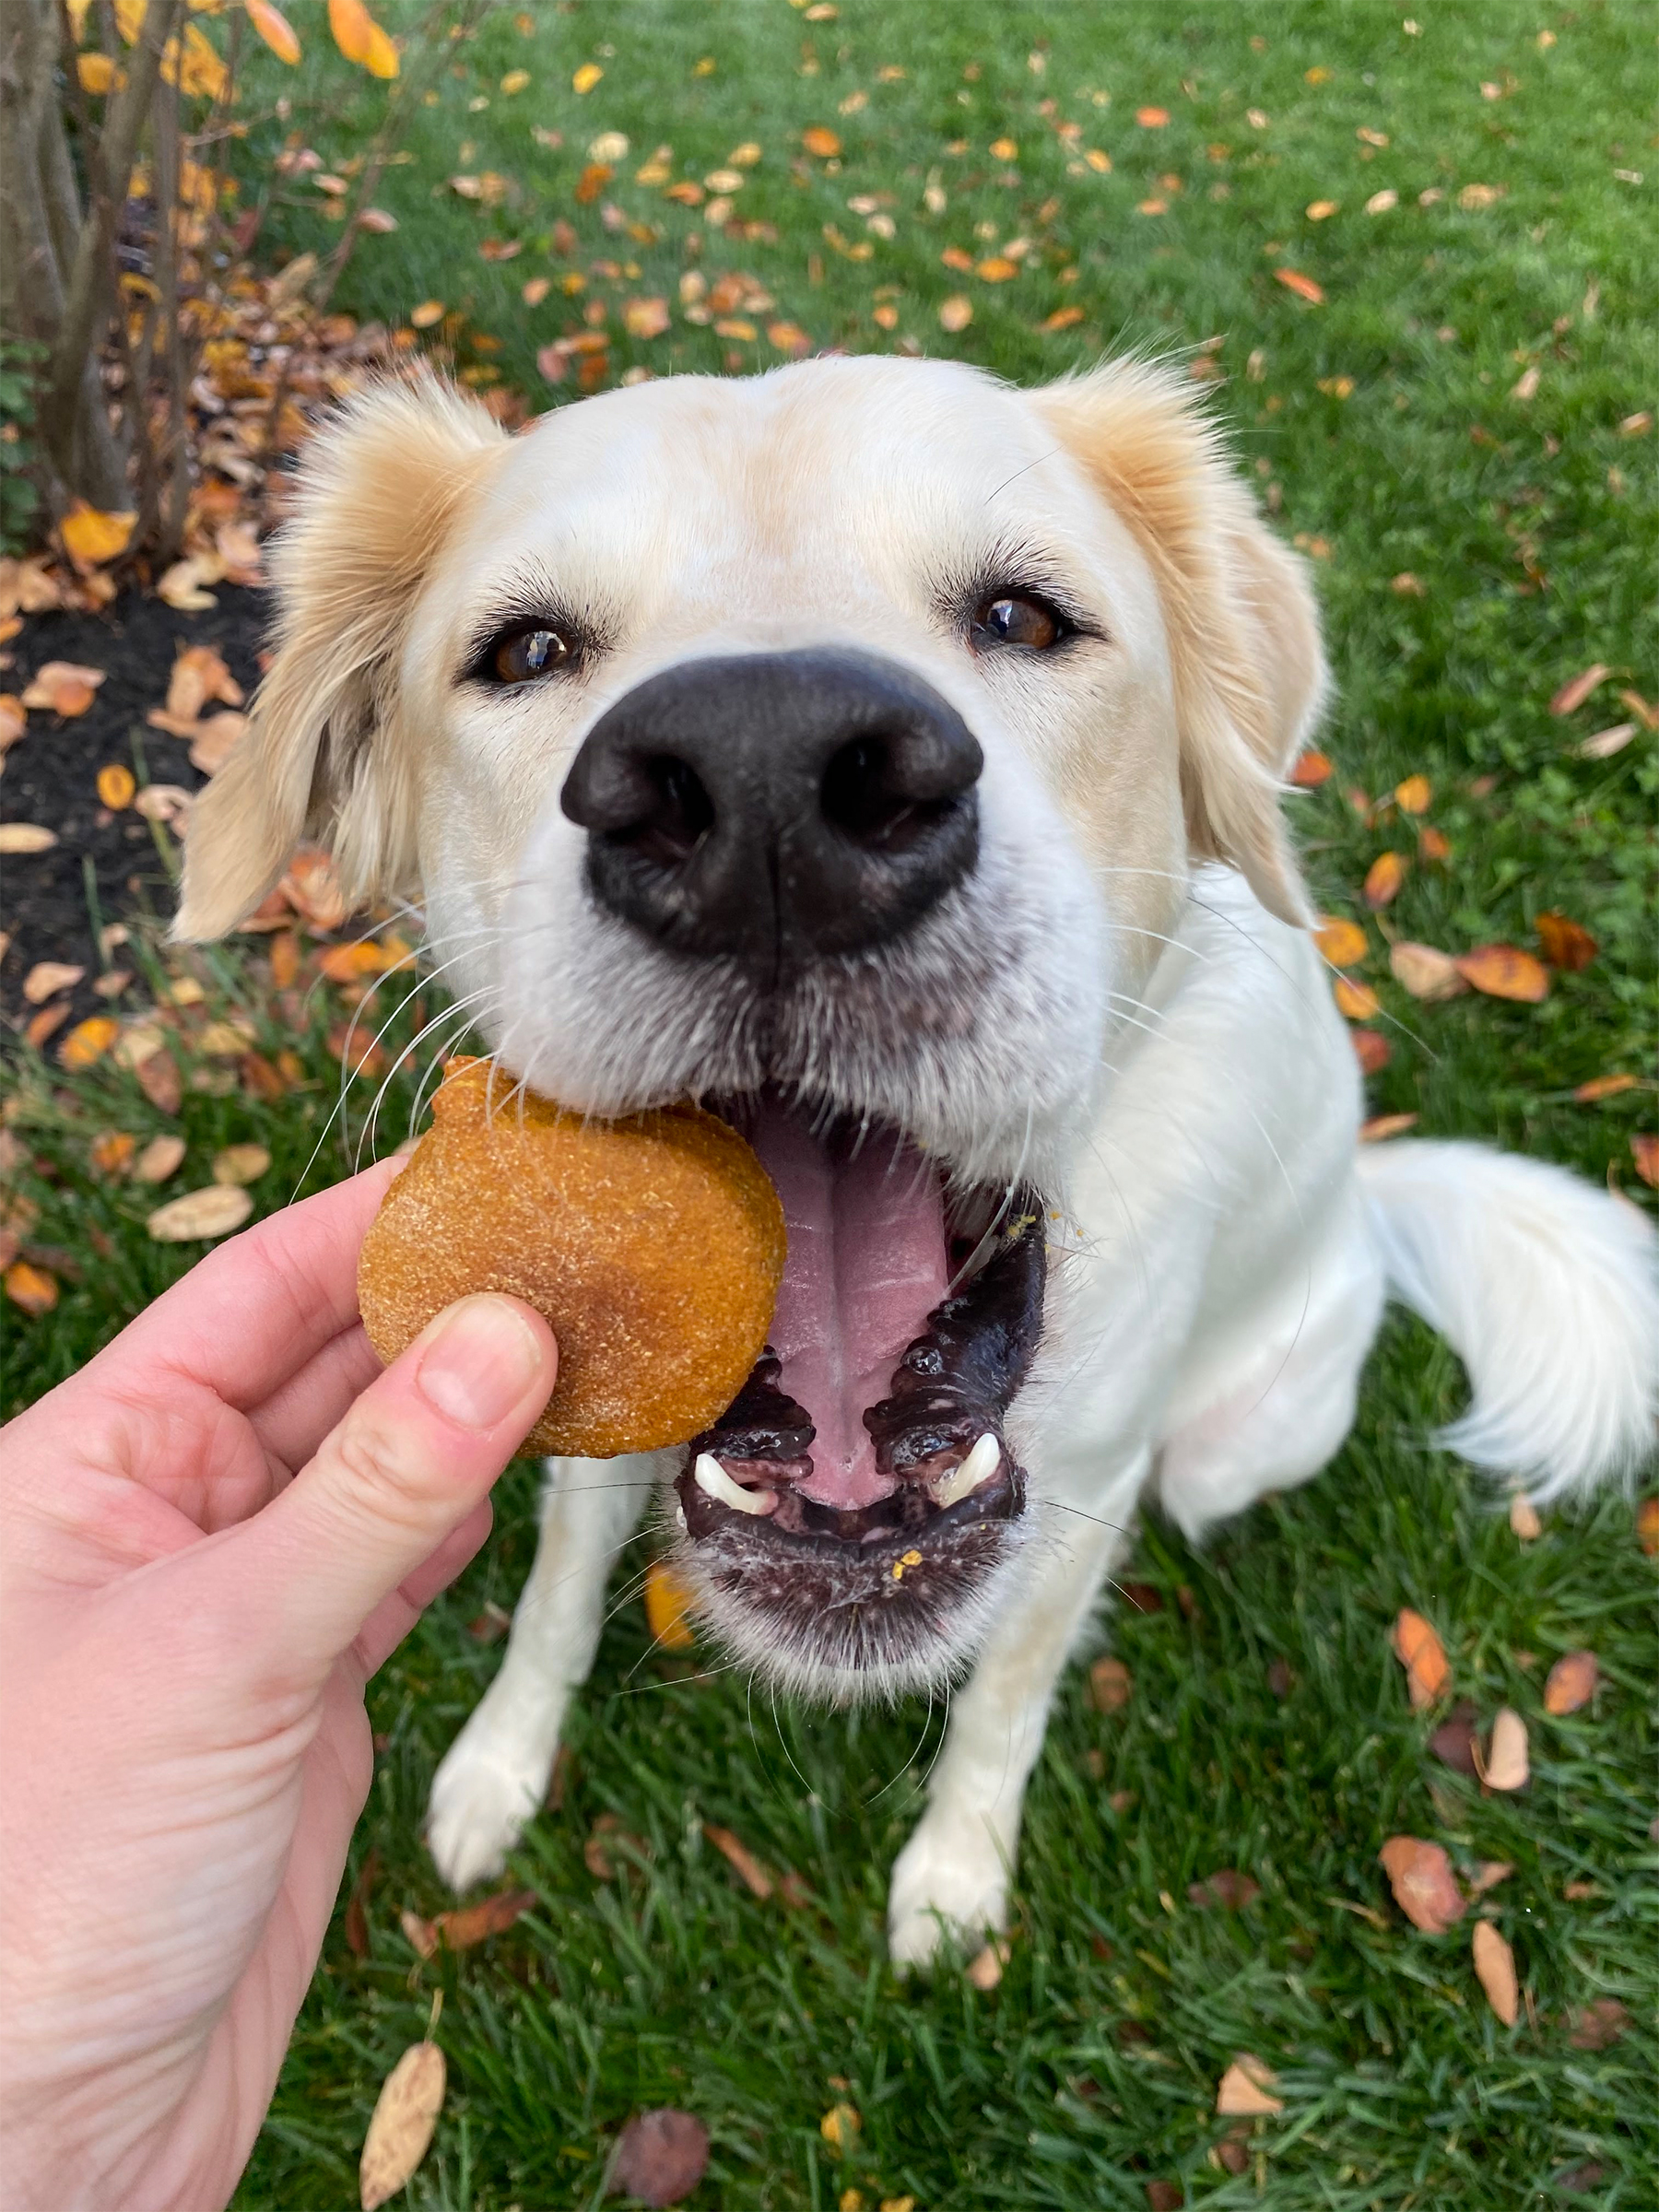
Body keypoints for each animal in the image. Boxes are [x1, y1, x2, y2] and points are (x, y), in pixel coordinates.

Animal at [175, 362, 1654, 1972]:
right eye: (529, 650)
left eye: (1022, 618)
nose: (764, 781)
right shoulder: (596, 1427)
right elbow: (556, 1601)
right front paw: (499, 1769)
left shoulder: (1084, 1480)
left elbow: (1006, 1696)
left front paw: (956, 1878)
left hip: (1227, 1447)